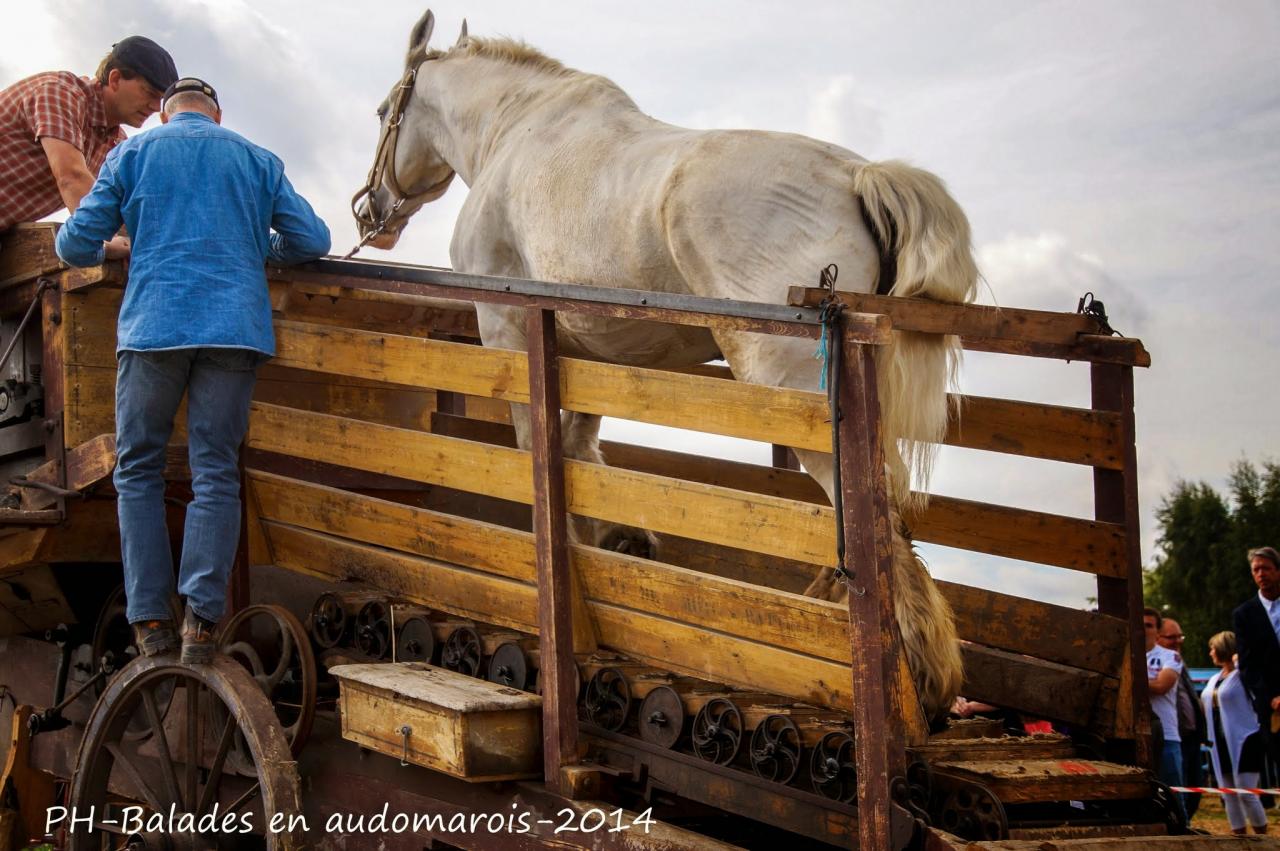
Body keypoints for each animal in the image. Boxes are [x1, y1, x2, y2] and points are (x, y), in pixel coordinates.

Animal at [355, 11, 972, 716]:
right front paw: (617, 544)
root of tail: (856, 174)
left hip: (791, 387)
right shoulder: (580, 347)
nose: (369, 210)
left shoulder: (508, 329)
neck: (512, 130)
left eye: (383, 112)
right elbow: (580, 450)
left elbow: (540, 447)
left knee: (868, 498)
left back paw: (908, 662)